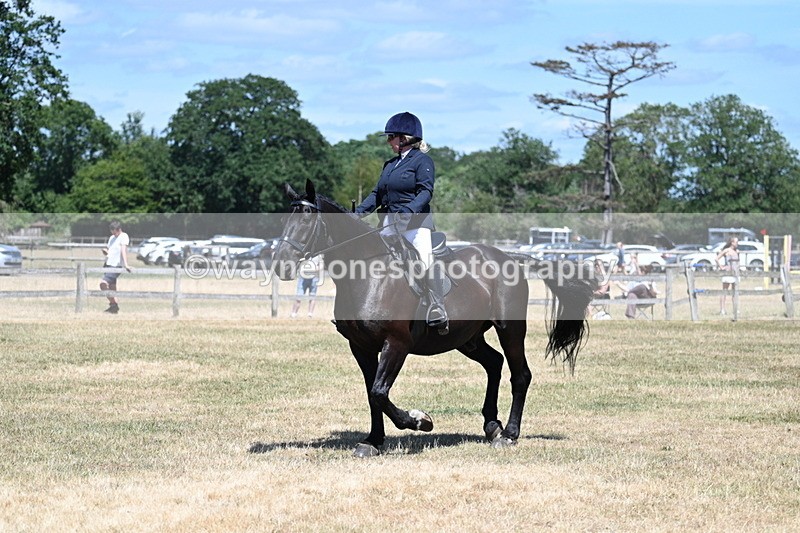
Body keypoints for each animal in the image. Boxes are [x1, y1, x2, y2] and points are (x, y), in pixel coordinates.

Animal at [273, 179, 595, 457]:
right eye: (285, 218)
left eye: (306, 220)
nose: (281, 266)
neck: (369, 274)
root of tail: (509, 257)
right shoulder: (360, 347)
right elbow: (371, 393)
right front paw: (373, 441)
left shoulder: (396, 344)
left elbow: (379, 392)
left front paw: (420, 420)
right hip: (467, 338)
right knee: (494, 363)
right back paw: (492, 426)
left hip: (510, 330)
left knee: (521, 375)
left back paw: (509, 434)